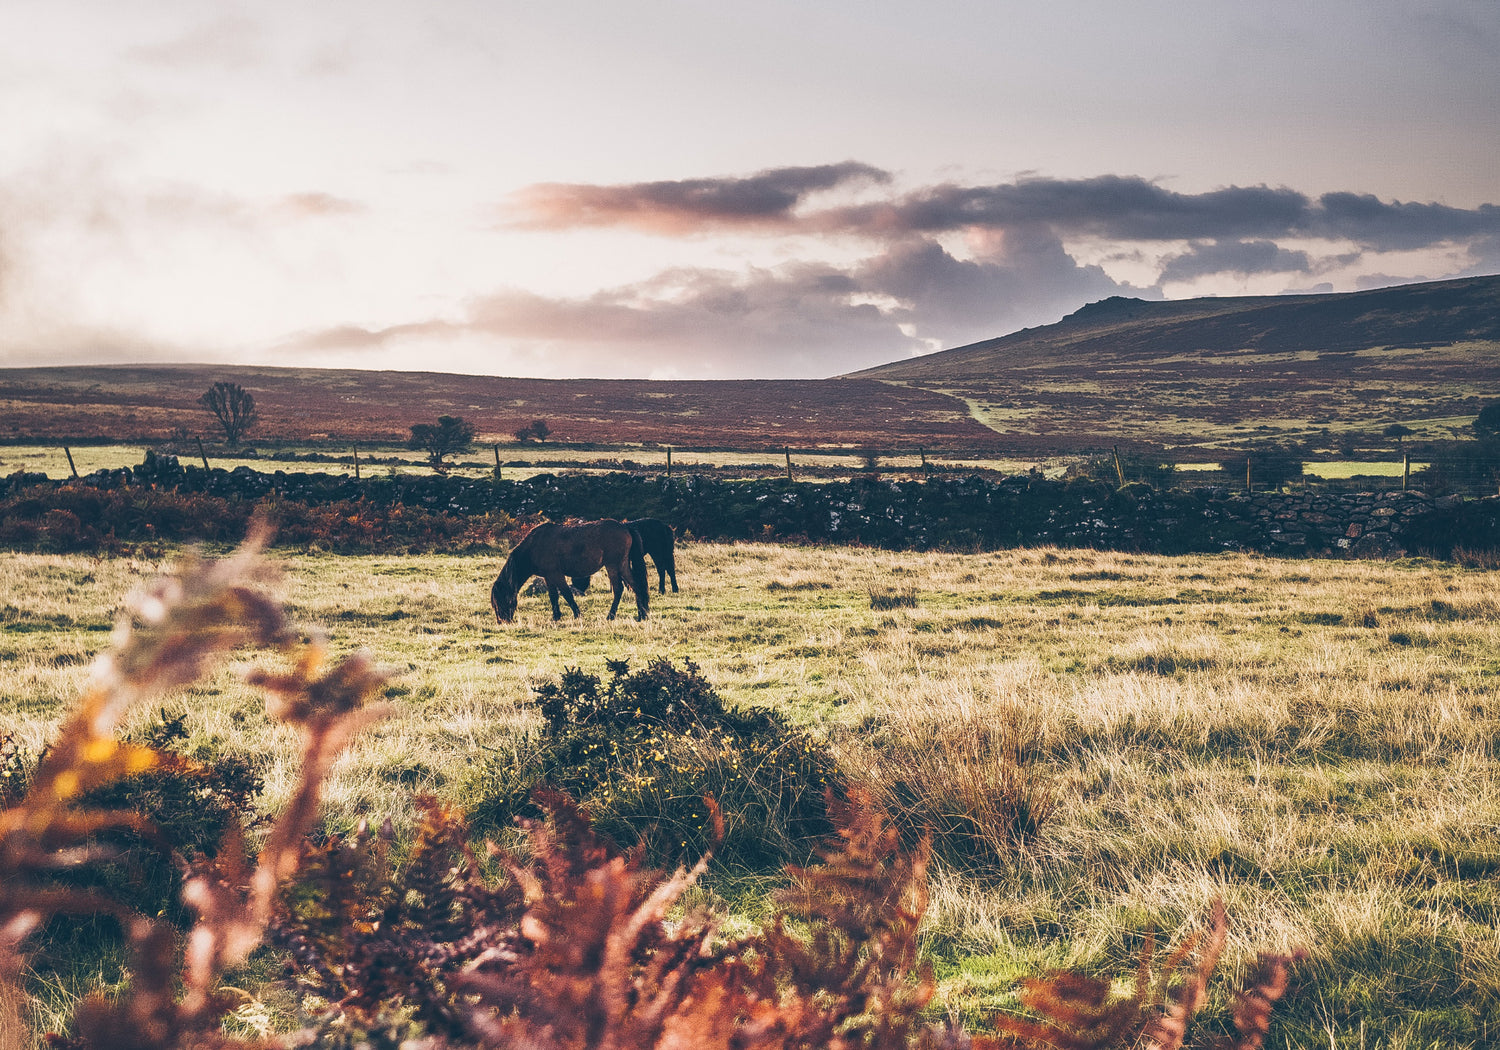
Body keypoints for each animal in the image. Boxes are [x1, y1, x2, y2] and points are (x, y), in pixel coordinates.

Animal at [492, 519, 651, 624]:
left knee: (618, 590)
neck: (534, 546)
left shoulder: (556, 574)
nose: (502, 621)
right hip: (622, 565)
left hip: (612, 565)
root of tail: (625, 527)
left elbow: (567, 594)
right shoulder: (548, 577)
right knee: (636, 587)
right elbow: (553, 596)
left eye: (500, 599)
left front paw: (577, 615)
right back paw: (641, 615)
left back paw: (611, 616)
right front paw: (556, 617)